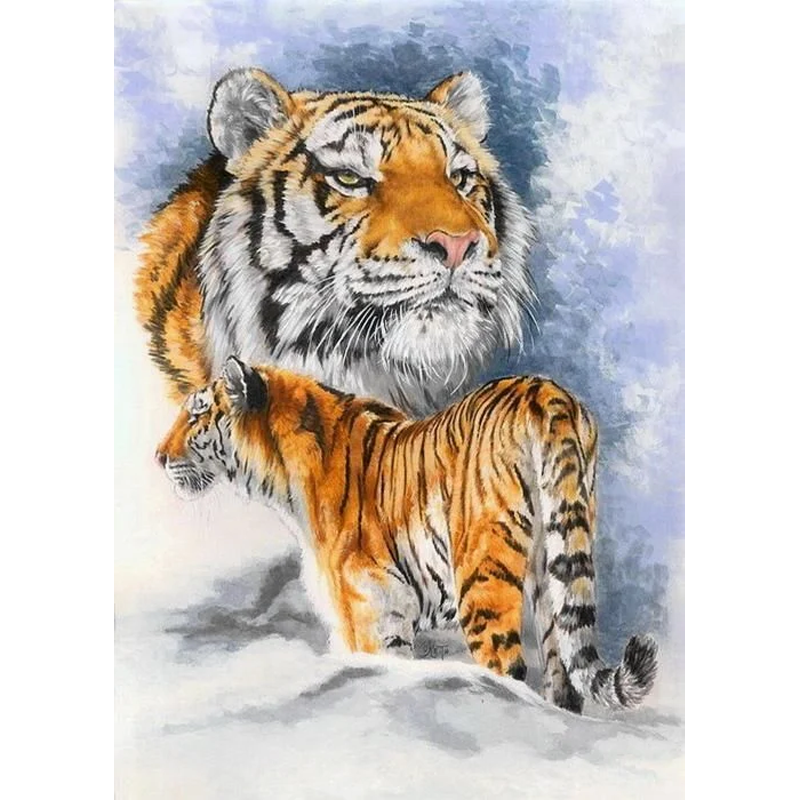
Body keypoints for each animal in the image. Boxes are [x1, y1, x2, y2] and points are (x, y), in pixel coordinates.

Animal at [155, 356, 658, 714]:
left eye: (197, 416)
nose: (158, 456)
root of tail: (548, 392)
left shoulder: (367, 615)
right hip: (555, 570)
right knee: (565, 679)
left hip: (482, 582)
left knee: (508, 670)